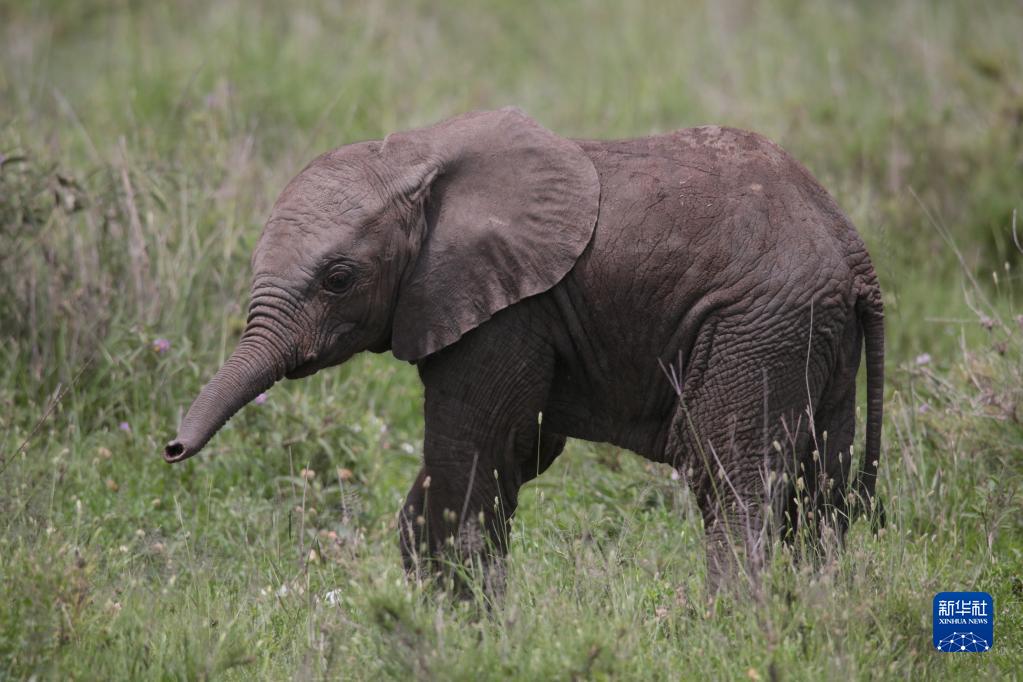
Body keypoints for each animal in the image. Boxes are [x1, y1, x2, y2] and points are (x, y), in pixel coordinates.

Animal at [163, 107, 883, 593]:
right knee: (819, 487)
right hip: (814, 336)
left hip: (759, 324)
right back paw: (813, 604)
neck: (411, 156)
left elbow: (470, 455)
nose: (172, 449)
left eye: (338, 279)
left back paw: (722, 621)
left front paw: (468, 626)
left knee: (728, 479)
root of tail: (852, 246)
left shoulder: (506, 312)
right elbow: (509, 454)